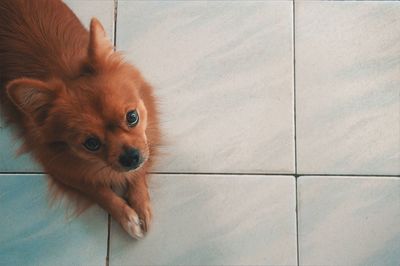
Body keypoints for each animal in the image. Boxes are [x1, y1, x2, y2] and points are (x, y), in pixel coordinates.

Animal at [0, 0, 160, 238]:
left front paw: (140, 203)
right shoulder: (63, 169)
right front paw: (127, 216)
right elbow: (98, 190)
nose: (130, 157)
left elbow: (139, 169)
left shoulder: (144, 145)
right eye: (91, 144)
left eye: (132, 117)